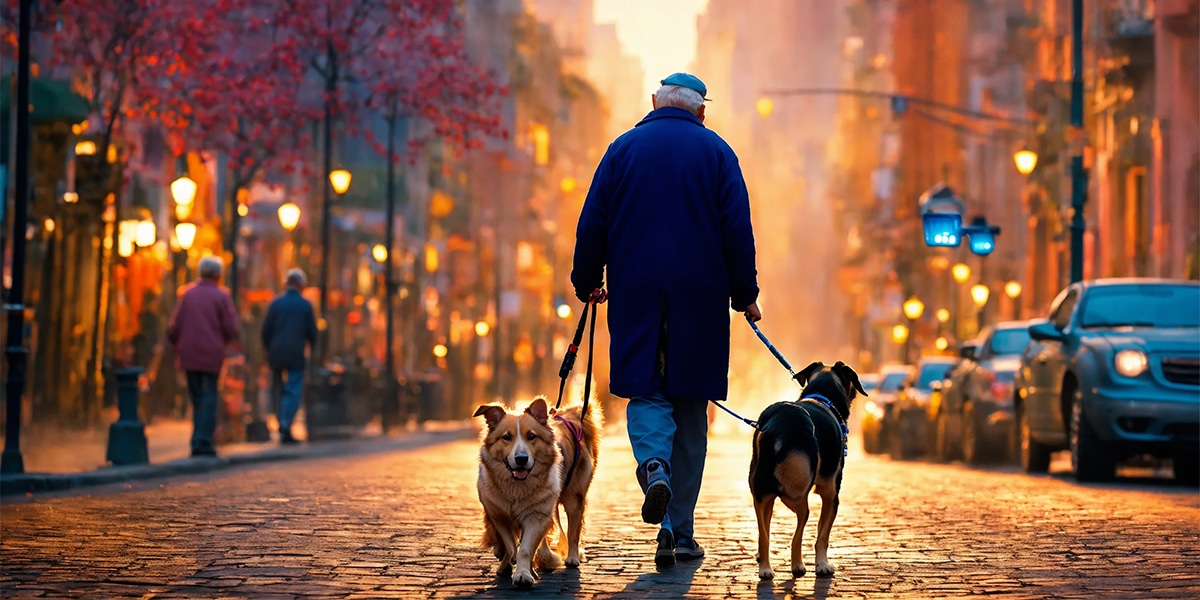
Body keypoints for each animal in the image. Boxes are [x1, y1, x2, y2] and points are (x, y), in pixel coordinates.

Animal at [470, 396, 597, 588]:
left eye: (531, 436)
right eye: (506, 437)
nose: (521, 459)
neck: (516, 486)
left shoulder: (537, 516)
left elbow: (525, 548)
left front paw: (523, 574)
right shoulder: (499, 515)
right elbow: (511, 546)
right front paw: (508, 564)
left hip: (573, 497)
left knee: (573, 531)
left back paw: (572, 557)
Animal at [748, 357, 864, 578]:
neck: (822, 397)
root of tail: (777, 428)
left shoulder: (766, 497)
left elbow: (766, 531)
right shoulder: (831, 493)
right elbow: (822, 536)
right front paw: (822, 565)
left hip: (761, 492)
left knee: (763, 534)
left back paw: (765, 567)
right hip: (796, 494)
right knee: (798, 531)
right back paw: (797, 565)